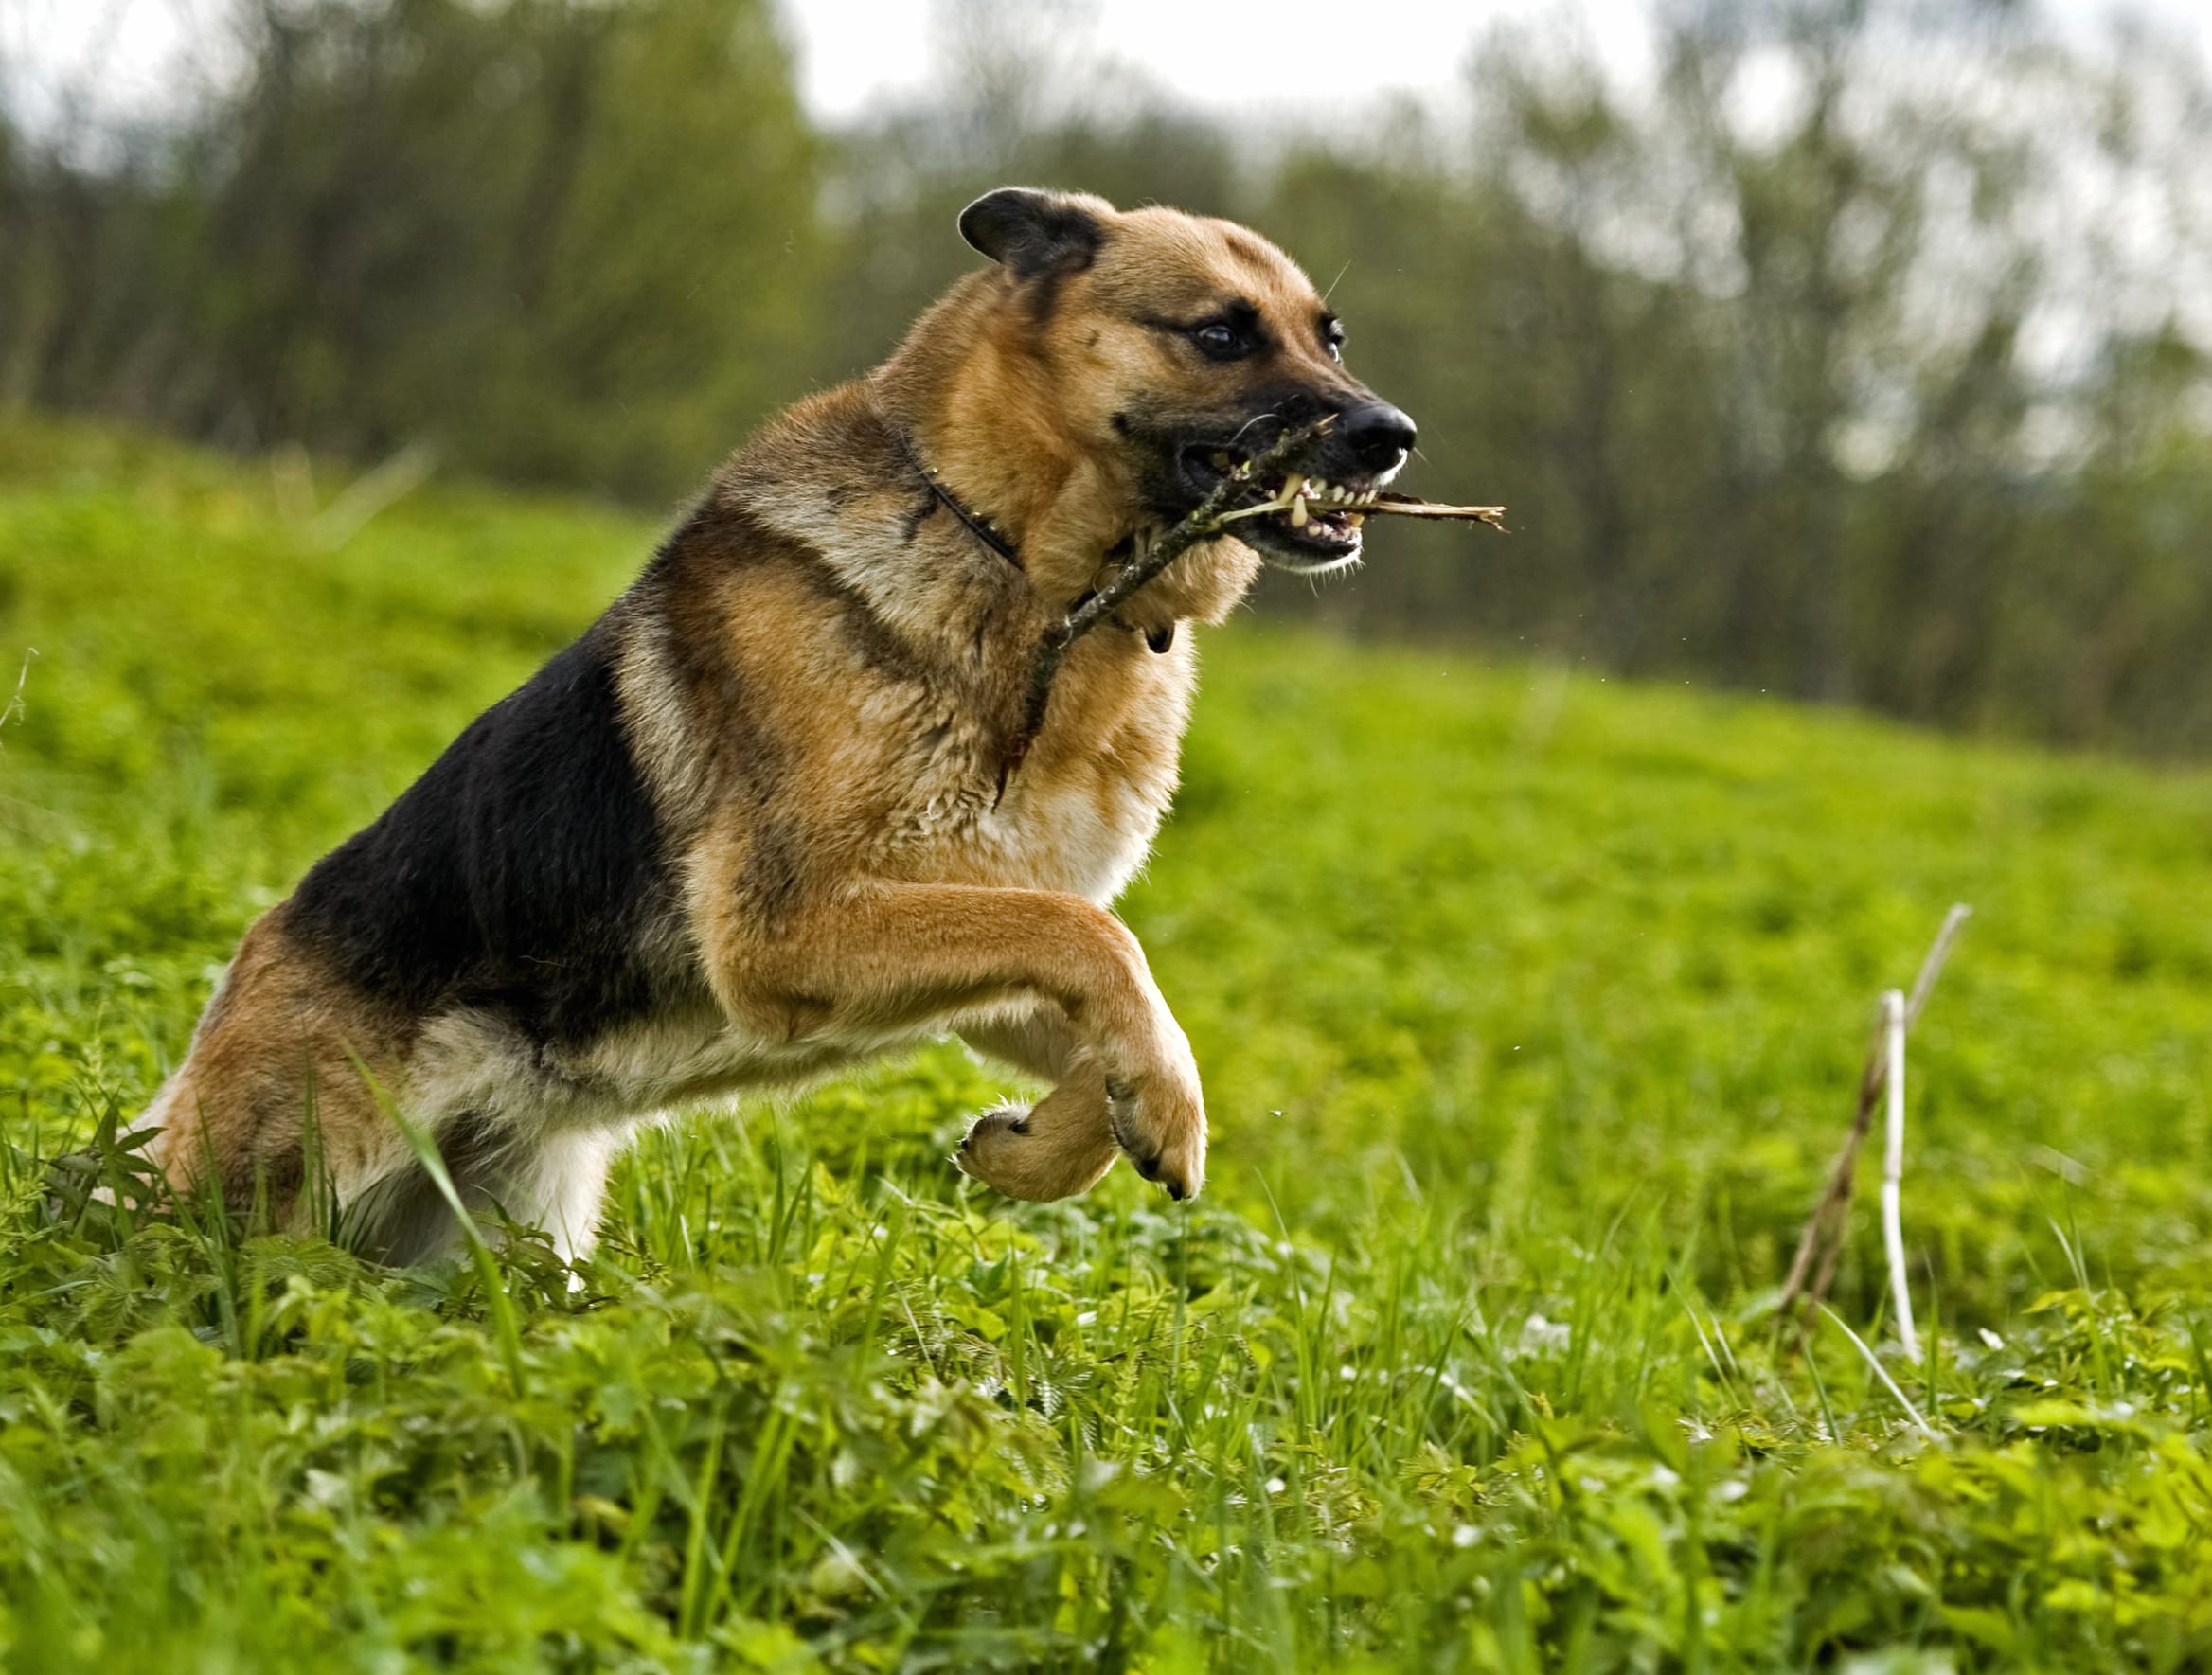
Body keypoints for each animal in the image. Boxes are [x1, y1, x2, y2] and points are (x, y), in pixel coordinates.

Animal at [138, 188, 1416, 1256]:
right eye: (1220, 334)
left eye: (1330, 336)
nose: (1391, 434)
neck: (1025, 579)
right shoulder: (792, 929)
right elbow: (1098, 942)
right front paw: (1146, 1106)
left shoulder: (963, 930)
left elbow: (1104, 998)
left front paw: (1067, 1135)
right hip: (262, 1193)